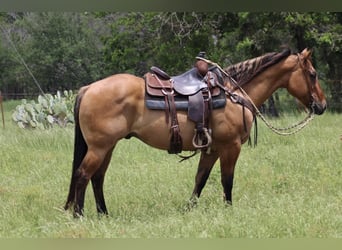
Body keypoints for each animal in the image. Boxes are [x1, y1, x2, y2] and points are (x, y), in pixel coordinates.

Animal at [66, 47, 326, 216]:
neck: (233, 94)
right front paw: (228, 210)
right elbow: (227, 179)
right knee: (83, 175)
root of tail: (88, 88)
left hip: (107, 147)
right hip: (99, 148)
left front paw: (189, 209)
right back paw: (79, 215)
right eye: (312, 74)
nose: (322, 105)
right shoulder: (231, 147)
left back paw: (104, 214)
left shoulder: (212, 149)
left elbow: (200, 178)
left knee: (97, 178)